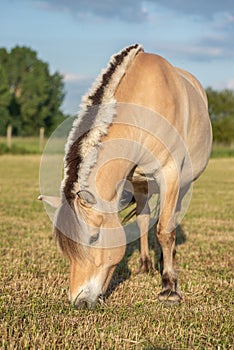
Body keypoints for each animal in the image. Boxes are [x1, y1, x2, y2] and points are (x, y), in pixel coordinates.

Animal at [38, 44, 212, 308]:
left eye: (94, 237)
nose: (78, 301)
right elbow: (144, 221)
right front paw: (149, 268)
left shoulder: (170, 174)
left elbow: (164, 231)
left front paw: (169, 288)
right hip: (142, 185)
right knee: (144, 218)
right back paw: (146, 265)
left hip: (182, 185)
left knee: (171, 219)